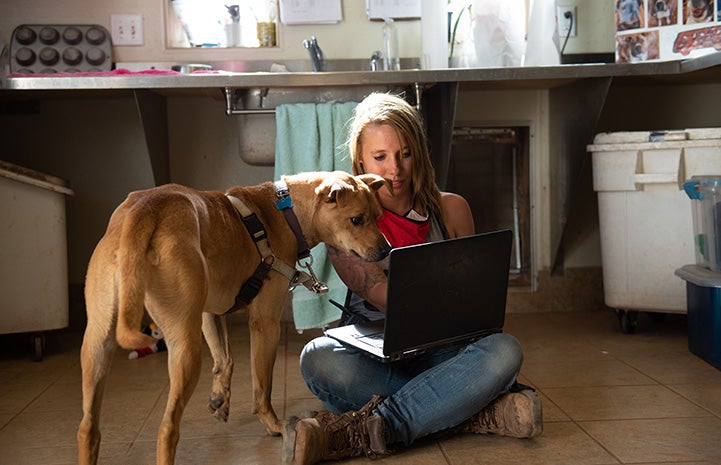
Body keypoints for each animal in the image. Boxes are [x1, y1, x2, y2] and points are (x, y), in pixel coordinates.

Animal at [76, 171, 390, 464]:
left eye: (378, 216)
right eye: (357, 219)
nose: (387, 250)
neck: (286, 210)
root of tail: (143, 211)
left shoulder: (210, 312)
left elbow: (224, 359)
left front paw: (220, 399)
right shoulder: (265, 324)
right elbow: (262, 386)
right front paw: (273, 424)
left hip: (96, 347)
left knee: (88, 429)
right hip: (185, 348)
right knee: (167, 429)